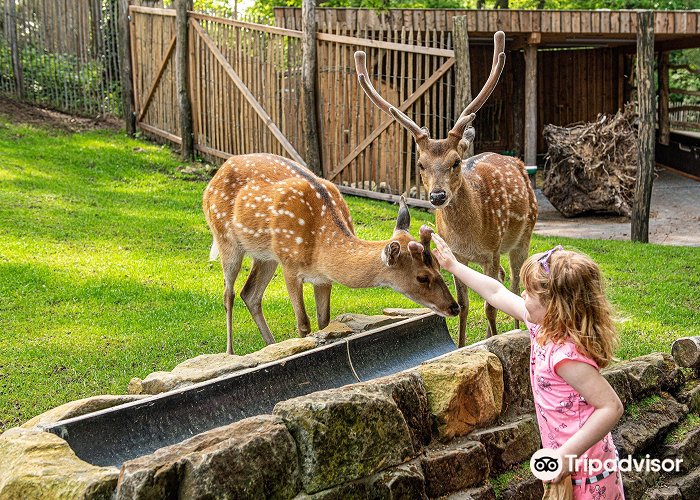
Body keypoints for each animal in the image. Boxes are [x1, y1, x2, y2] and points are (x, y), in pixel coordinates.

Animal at [202, 154, 460, 354]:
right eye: (422, 277)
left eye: (438, 265)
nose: (454, 307)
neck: (320, 247)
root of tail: (215, 177)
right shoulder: (289, 264)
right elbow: (303, 323)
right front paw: (301, 346)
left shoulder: (323, 278)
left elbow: (324, 321)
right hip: (226, 238)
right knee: (229, 294)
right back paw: (231, 353)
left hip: (265, 256)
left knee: (250, 293)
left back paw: (272, 345)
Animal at [356, 30, 536, 344]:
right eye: (420, 164)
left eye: (455, 161)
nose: (438, 195)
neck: (470, 235)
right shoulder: (460, 256)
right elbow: (465, 305)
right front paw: (464, 344)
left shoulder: (491, 250)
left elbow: (491, 305)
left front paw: (493, 340)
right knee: (503, 279)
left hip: (522, 237)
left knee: (514, 283)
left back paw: (514, 329)